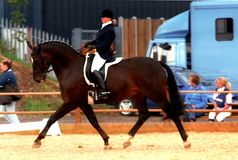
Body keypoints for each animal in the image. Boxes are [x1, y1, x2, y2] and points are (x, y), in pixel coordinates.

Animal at [27, 40, 192, 149]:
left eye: (37, 59)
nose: (37, 79)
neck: (70, 66)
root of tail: (158, 63)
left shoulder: (71, 102)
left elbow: (52, 118)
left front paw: (37, 140)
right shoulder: (83, 102)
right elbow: (94, 122)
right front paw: (106, 141)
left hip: (156, 94)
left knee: (171, 112)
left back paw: (186, 141)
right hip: (138, 95)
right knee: (144, 115)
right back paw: (127, 140)